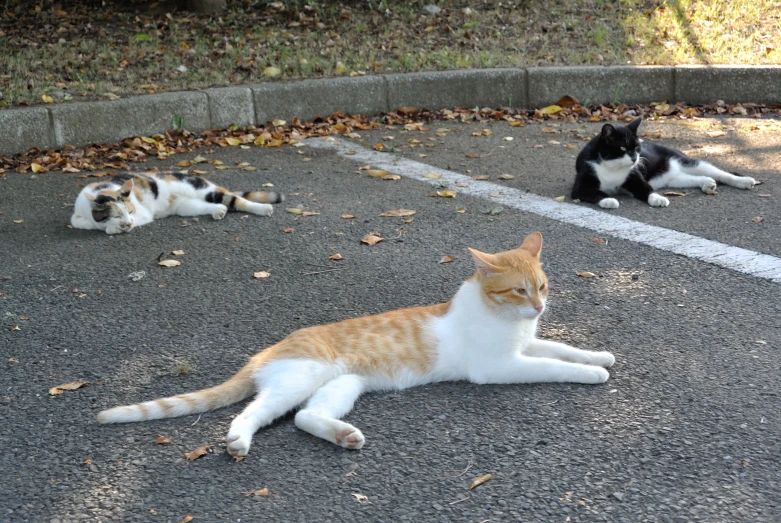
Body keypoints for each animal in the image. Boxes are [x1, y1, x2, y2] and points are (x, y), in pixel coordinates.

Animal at [69, 172, 284, 235]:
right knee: (218, 205)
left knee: (237, 199)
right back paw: (219, 211)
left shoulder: (142, 214)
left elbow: (108, 228)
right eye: (116, 214)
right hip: (186, 206)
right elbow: (76, 221)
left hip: (204, 190)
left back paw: (264, 208)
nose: (128, 223)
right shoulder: (77, 213)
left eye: (130, 211)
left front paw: (113, 228)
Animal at [97, 233, 616, 458]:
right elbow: (553, 366)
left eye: (543, 287)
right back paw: (239, 440)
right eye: (519, 291)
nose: (539, 308)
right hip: (298, 378)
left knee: (304, 417)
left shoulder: (528, 344)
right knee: (252, 412)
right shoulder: (499, 367)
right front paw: (592, 374)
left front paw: (597, 355)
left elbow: (560, 348)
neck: (507, 324)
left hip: (342, 386)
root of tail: (268, 349)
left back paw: (342, 435)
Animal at [572, 117, 756, 210]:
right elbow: (595, 193)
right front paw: (609, 200)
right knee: (691, 178)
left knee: (719, 173)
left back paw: (744, 181)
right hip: (673, 178)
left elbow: (646, 188)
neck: (612, 167)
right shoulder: (581, 185)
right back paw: (707, 183)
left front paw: (658, 199)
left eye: (637, 147)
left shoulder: (634, 176)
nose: (635, 159)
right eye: (622, 147)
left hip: (682, 159)